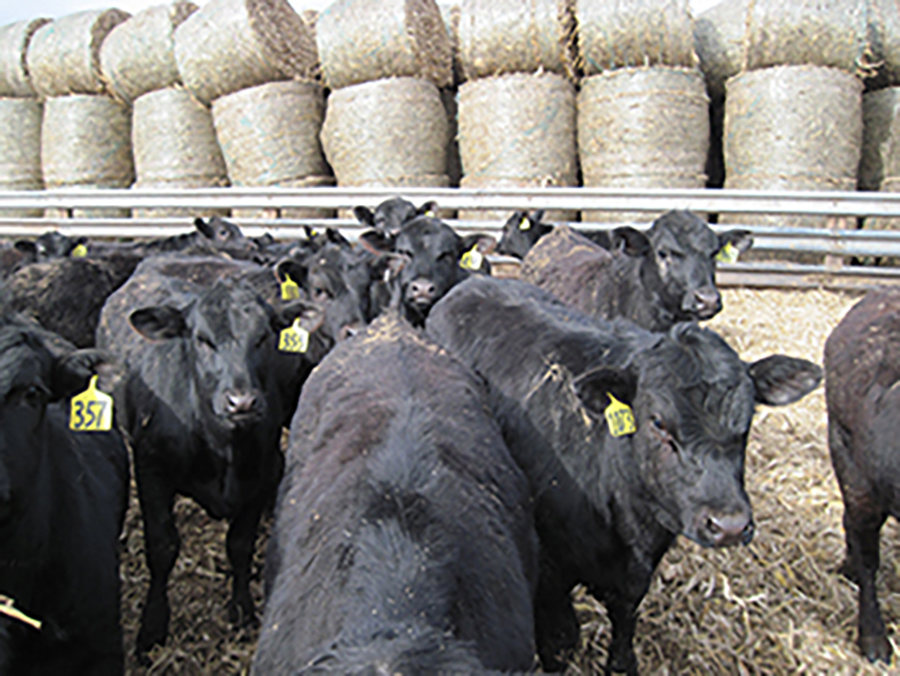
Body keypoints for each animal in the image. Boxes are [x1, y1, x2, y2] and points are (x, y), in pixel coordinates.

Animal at [95, 254, 337, 664]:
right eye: (202, 339)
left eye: (263, 337)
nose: (242, 402)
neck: (224, 447)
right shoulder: (151, 469)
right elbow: (162, 546)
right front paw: (152, 628)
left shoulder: (264, 474)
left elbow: (239, 545)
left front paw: (242, 610)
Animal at [426, 275, 822, 673]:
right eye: (659, 422)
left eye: (747, 420)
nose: (729, 526)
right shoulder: (549, 575)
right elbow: (562, 643)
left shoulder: (636, 573)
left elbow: (625, 623)